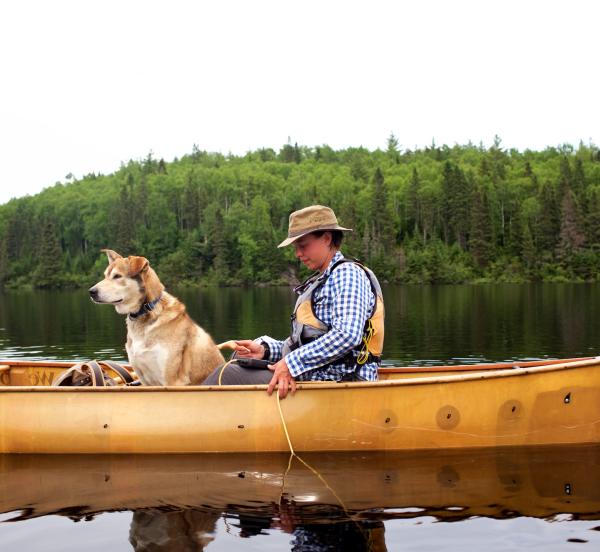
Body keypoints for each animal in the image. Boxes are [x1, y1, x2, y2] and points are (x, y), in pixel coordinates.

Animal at [86, 248, 223, 386]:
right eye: (105, 276)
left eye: (117, 276)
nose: (91, 291)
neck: (145, 312)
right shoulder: (143, 377)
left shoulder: (172, 380)